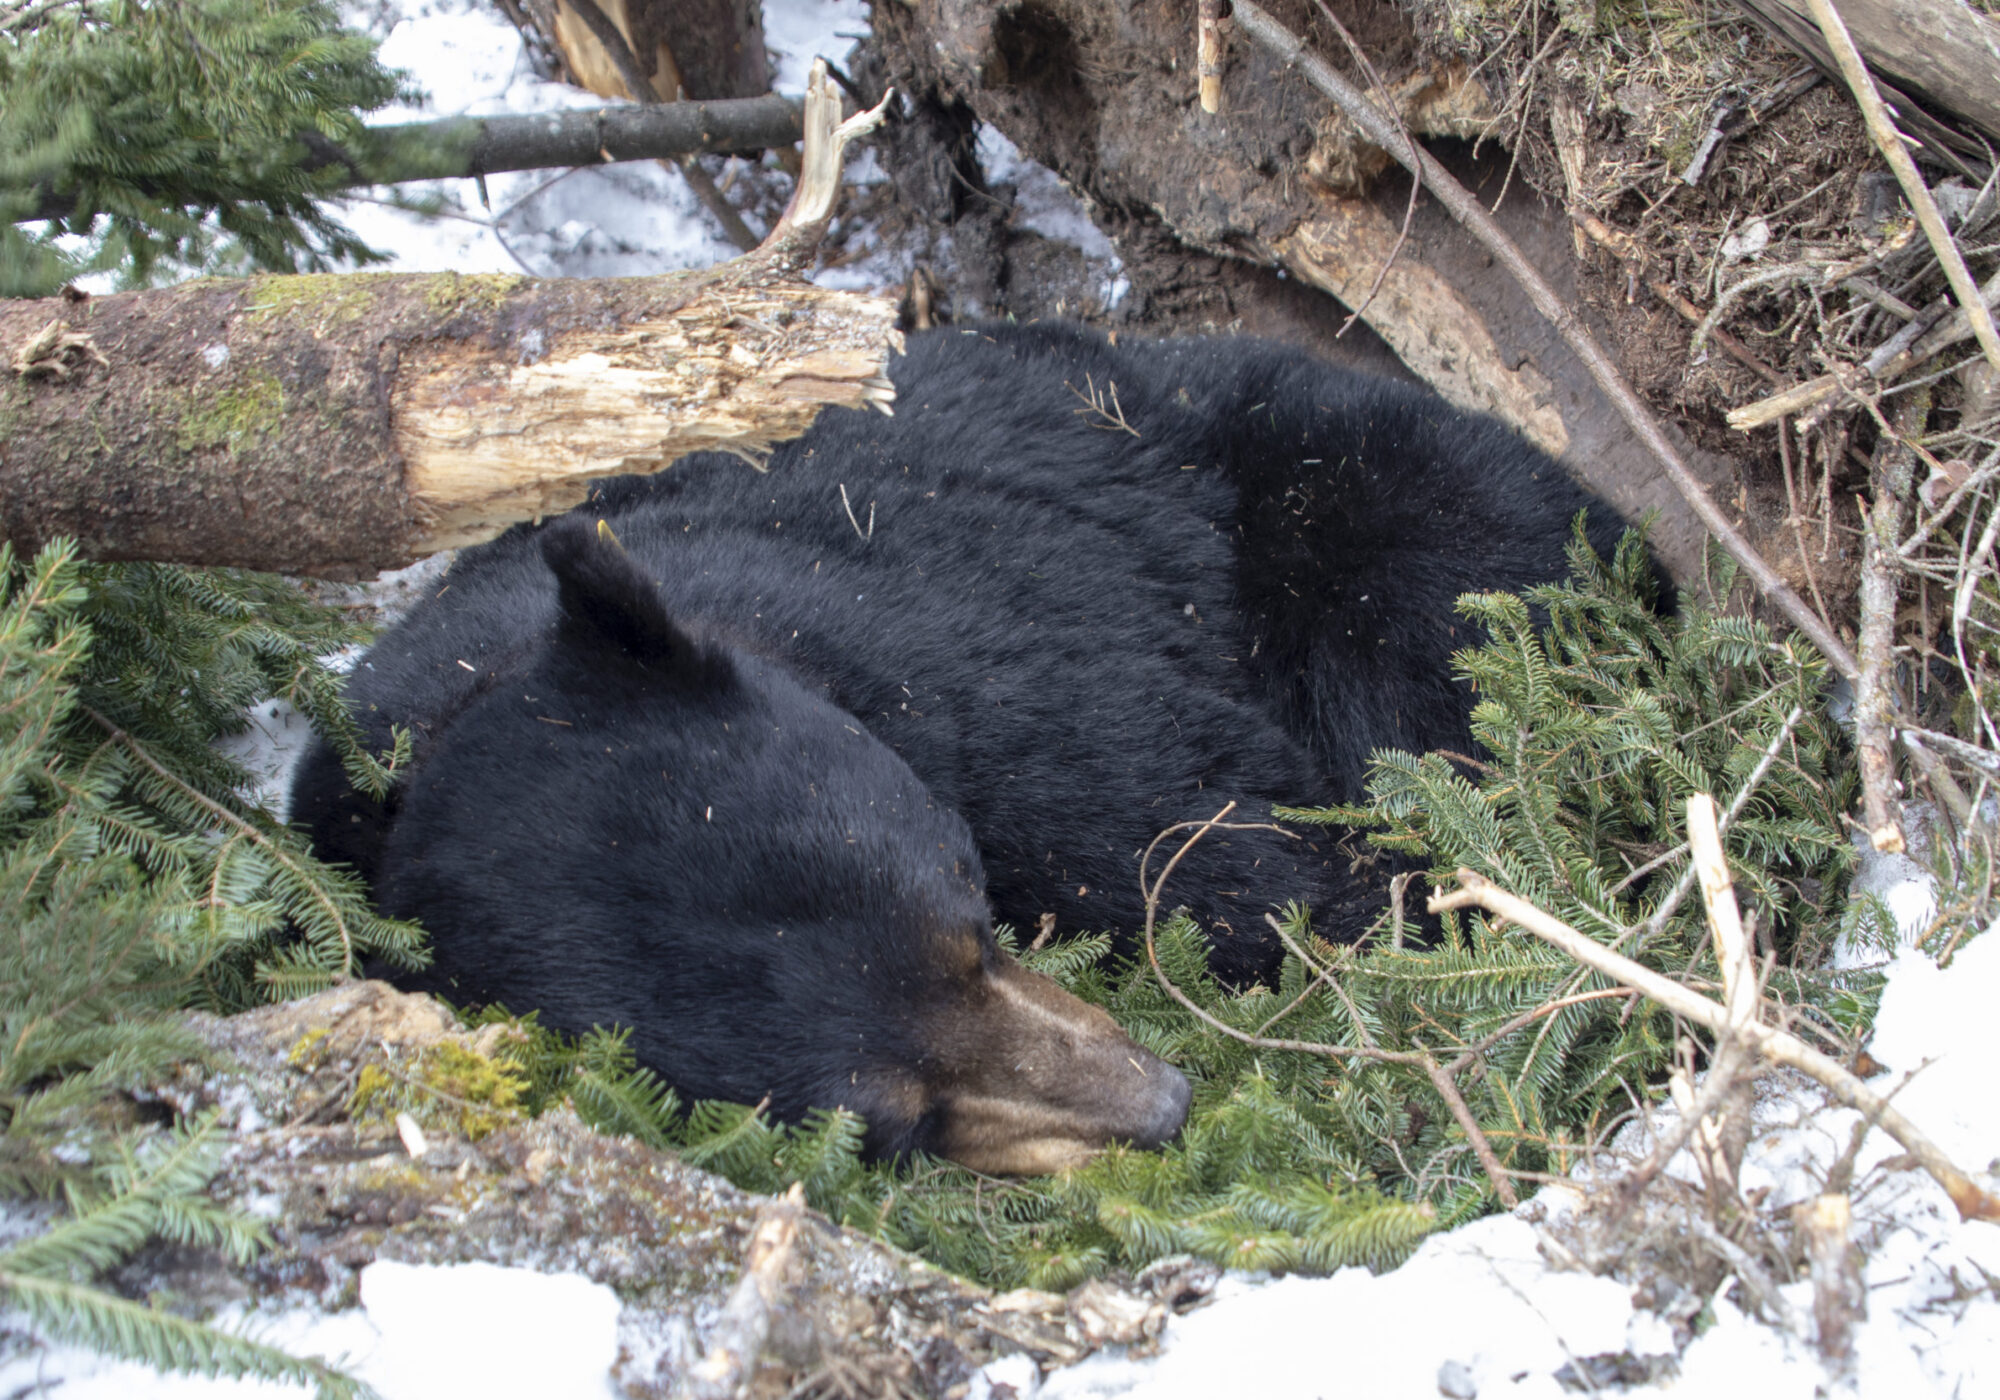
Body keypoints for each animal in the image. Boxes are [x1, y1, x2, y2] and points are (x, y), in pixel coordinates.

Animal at [290, 320, 1631, 1172]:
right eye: (891, 1123)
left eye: (968, 918)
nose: (1161, 1105)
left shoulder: (1008, 687)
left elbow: (1242, 858)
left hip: (1369, 499)